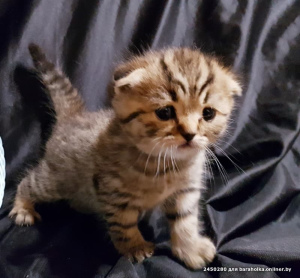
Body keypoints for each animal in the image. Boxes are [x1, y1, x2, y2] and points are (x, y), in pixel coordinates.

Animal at [8, 44, 241, 270]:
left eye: (208, 114)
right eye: (165, 113)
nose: (190, 134)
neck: (166, 163)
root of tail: (74, 117)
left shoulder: (186, 190)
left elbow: (186, 221)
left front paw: (190, 248)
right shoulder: (114, 192)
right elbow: (124, 224)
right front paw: (135, 246)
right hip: (55, 180)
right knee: (28, 182)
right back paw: (23, 207)